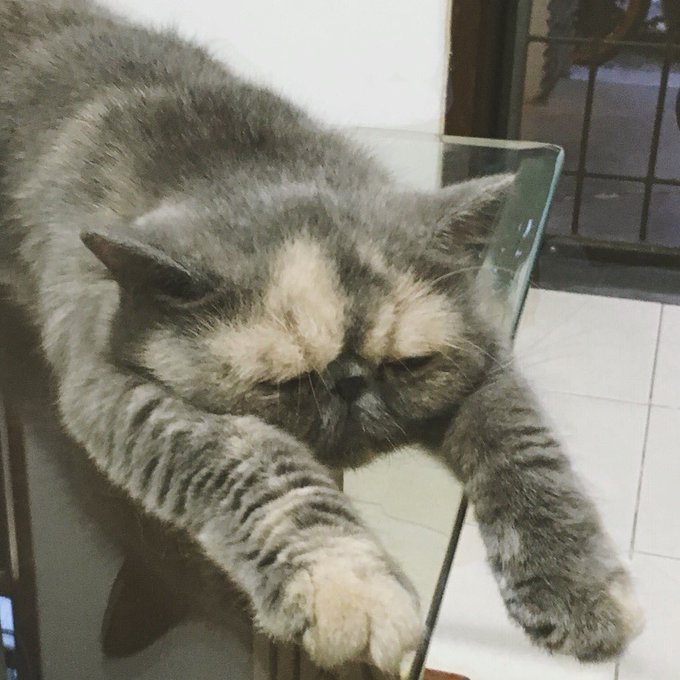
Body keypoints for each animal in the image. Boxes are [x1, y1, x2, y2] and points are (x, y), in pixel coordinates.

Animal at [0, 0, 642, 673]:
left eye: (408, 363)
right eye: (284, 382)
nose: (351, 384)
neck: (243, 167)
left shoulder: (487, 360)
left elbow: (531, 458)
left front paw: (582, 587)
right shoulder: (111, 386)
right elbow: (259, 468)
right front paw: (347, 590)